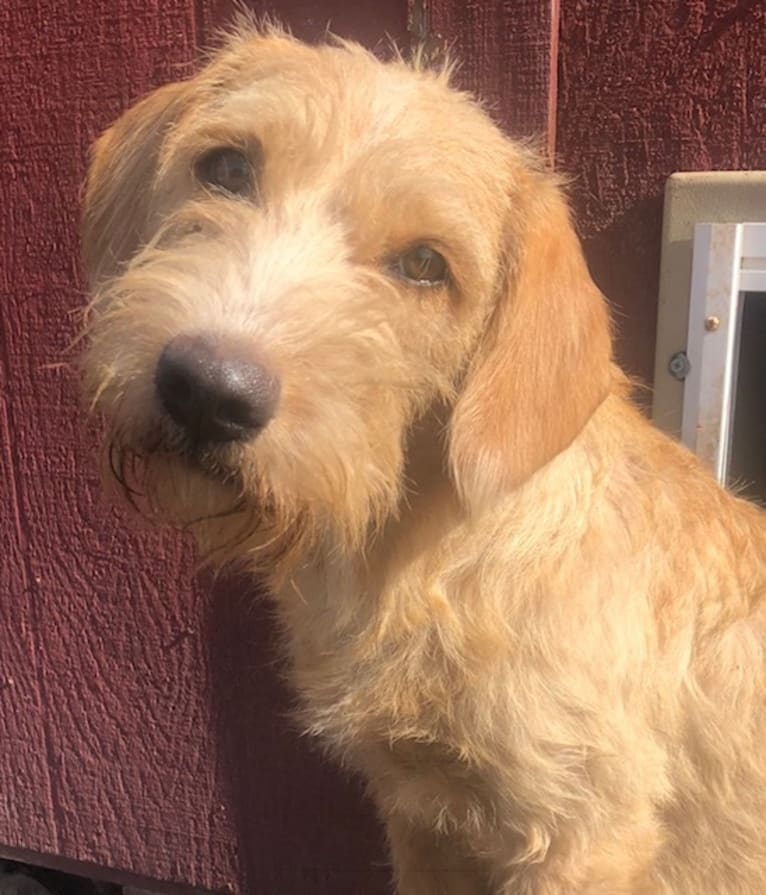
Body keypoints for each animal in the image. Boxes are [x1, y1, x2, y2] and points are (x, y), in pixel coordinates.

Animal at [79, 21, 766, 895]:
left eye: (424, 265)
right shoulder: (423, 818)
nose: (206, 390)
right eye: (227, 167)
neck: (430, 552)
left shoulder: (583, 832)